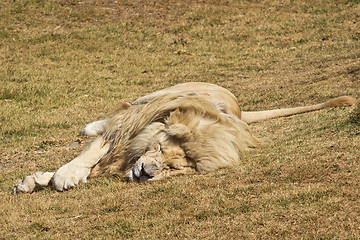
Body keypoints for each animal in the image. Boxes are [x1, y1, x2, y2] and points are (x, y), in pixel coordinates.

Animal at [11, 82, 354, 193]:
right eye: (160, 148)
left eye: (176, 168)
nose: (147, 172)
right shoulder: (128, 124)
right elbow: (91, 153)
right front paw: (62, 175)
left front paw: (38, 180)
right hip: (156, 94)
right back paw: (90, 126)